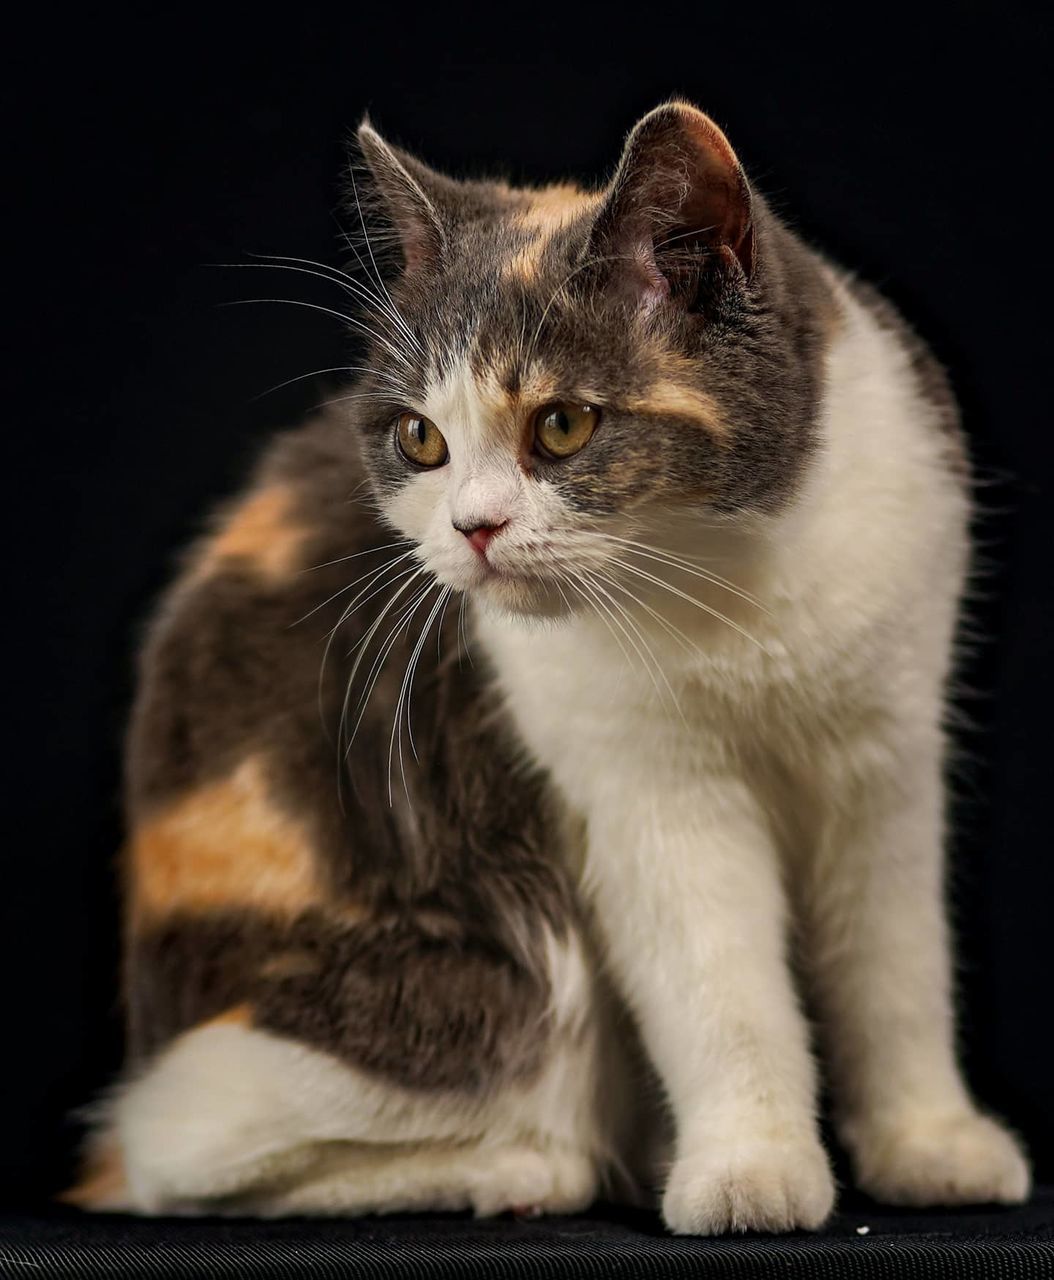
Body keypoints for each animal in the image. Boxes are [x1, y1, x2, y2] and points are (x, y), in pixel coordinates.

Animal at [70, 99, 1034, 1228]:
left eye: (563, 423)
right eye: (420, 438)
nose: (472, 528)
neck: (732, 592)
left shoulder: (886, 750)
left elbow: (895, 965)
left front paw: (929, 1142)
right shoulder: (643, 790)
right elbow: (719, 986)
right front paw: (747, 1165)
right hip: (469, 990)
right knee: (178, 1154)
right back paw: (527, 1168)